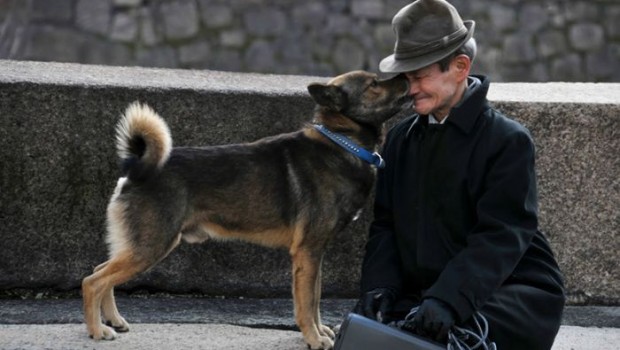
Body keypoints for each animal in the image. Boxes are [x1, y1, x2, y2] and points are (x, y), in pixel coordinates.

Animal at [82, 69, 412, 348]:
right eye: (374, 84)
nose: (407, 76)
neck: (342, 142)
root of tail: (134, 170)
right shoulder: (307, 252)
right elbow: (306, 304)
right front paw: (314, 338)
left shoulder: (314, 254)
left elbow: (315, 300)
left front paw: (319, 332)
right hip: (150, 246)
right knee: (93, 281)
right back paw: (97, 330)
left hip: (139, 246)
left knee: (101, 273)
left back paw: (114, 320)